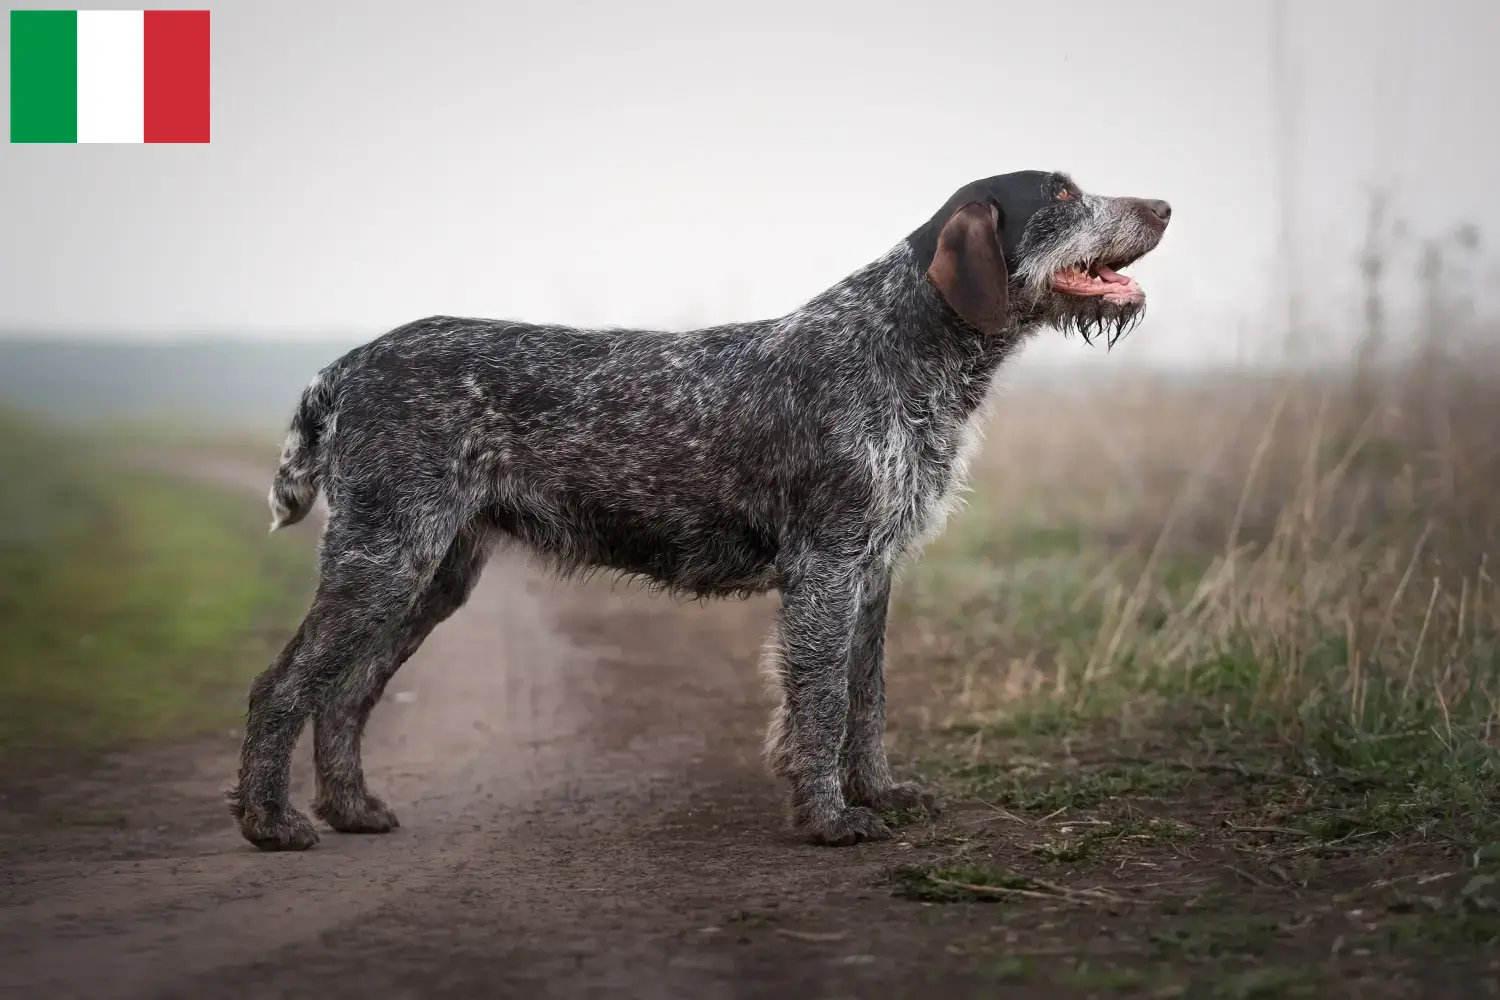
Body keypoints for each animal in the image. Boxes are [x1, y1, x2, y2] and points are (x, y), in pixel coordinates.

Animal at [225, 167, 1170, 851]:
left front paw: (880, 793)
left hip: (431, 575)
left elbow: (866, 701)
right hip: (385, 558)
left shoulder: (874, 572)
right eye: (1060, 195)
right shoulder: (827, 567)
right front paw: (829, 818)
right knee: (283, 686)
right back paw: (272, 823)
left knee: (345, 693)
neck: (907, 345)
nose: (1164, 205)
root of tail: (347, 364)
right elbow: (822, 704)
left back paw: (352, 809)